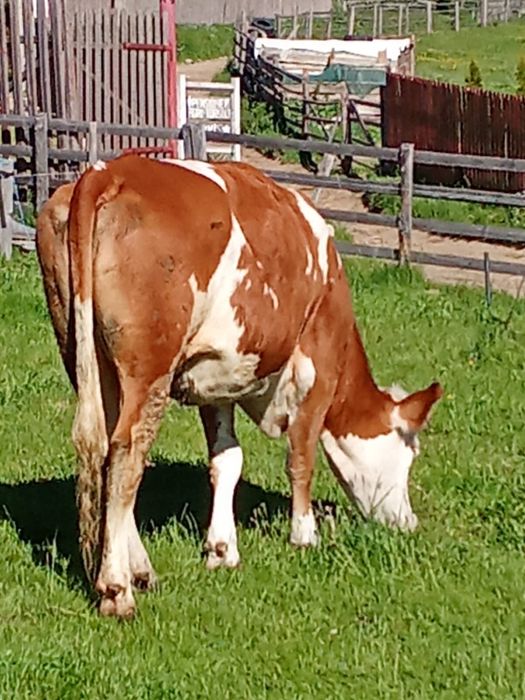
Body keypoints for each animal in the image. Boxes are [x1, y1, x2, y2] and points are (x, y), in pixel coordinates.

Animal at [36, 154, 442, 618]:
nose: (408, 523)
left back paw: (140, 569)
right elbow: (301, 455)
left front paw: (222, 549)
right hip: (149, 368)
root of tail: (109, 172)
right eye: (409, 456)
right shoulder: (318, 364)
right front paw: (305, 534)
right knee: (126, 455)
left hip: (84, 351)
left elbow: (227, 460)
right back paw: (117, 588)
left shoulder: (217, 378)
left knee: (102, 447)